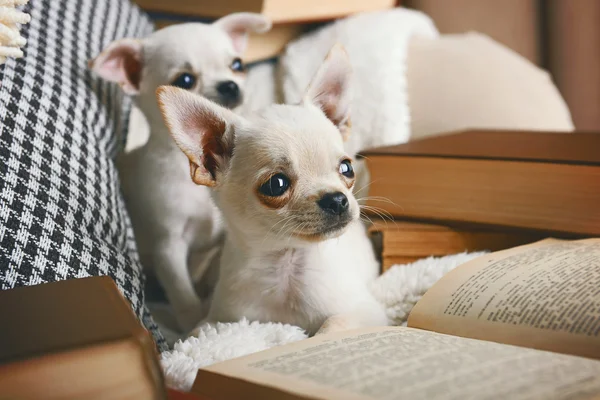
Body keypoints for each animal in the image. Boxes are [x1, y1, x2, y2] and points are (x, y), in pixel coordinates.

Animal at [89, 13, 272, 332]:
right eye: (185, 80)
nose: (229, 85)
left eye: (238, 65)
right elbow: (182, 292)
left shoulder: (225, 237)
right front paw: (193, 323)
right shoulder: (168, 248)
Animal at [157, 45, 386, 336]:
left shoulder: (366, 311)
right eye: (276, 185)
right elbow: (197, 333)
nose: (337, 200)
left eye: (347, 169)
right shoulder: (221, 319)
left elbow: (330, 328)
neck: (285, 264)